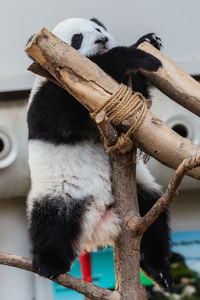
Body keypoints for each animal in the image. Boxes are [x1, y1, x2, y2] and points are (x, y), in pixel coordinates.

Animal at [26, 17, 172, 290]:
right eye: (77, 39)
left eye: (98, 29)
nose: (102, 40)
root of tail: (100, 225)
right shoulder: (55, 89)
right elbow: (72, 105)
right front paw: (138, 56)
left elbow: (135, 95)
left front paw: (149, 40)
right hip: (60, 194)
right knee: (50, 223)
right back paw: (49, 262)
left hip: (140, 196)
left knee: (153, 220)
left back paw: (159, 271)